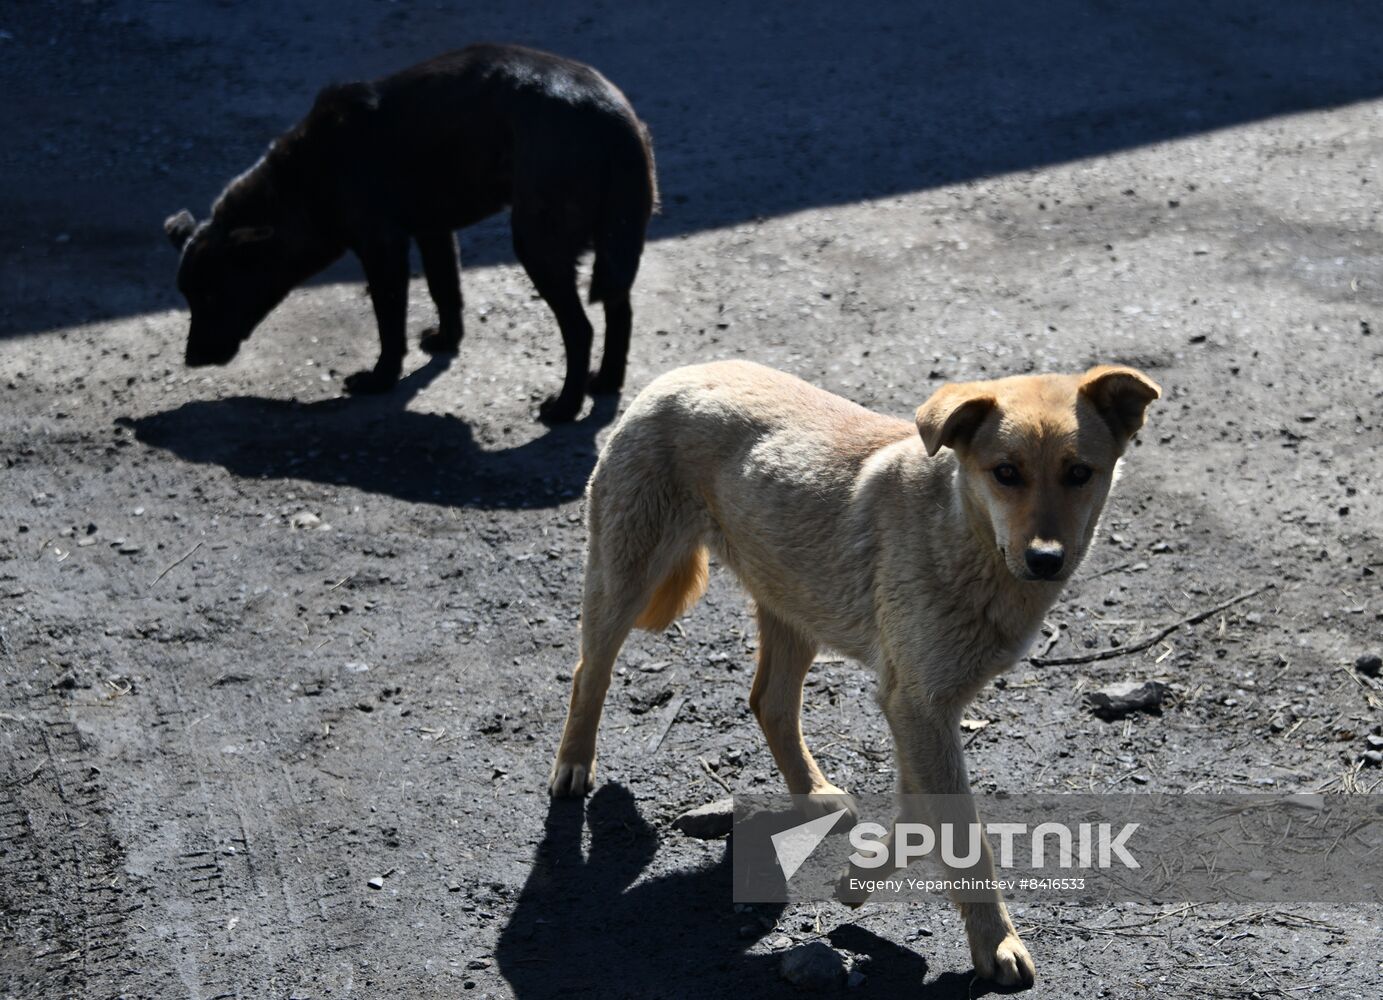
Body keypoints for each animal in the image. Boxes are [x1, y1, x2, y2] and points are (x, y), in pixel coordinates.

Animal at [161, 44, 658, 420]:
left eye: (212, 296)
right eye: (189, 298)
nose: (190, 358)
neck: (305, 177)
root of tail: (615, 118)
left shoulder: (382, 246)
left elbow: (388, 320)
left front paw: (381, 378)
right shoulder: (433, 231)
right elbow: (445, 290)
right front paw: (445, 341)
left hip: (540, 245)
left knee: (581, 329)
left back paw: (566, 406)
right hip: (613, 242)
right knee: (620, 309)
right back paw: (607, 381)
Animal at [547, 359, 1156, 984]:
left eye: (1079, 473)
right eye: (1006, 473)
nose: (1045, 559)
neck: (964, 533)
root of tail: (684, 372)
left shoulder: (918, 708)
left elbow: (921, 813)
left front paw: (860, 880)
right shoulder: (918, 706)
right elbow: (963, 834)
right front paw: (996, 942)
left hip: (794, 606)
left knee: (769, 702)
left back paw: (812, 793)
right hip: (626, 578)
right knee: (589, 671)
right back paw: (574, 764)